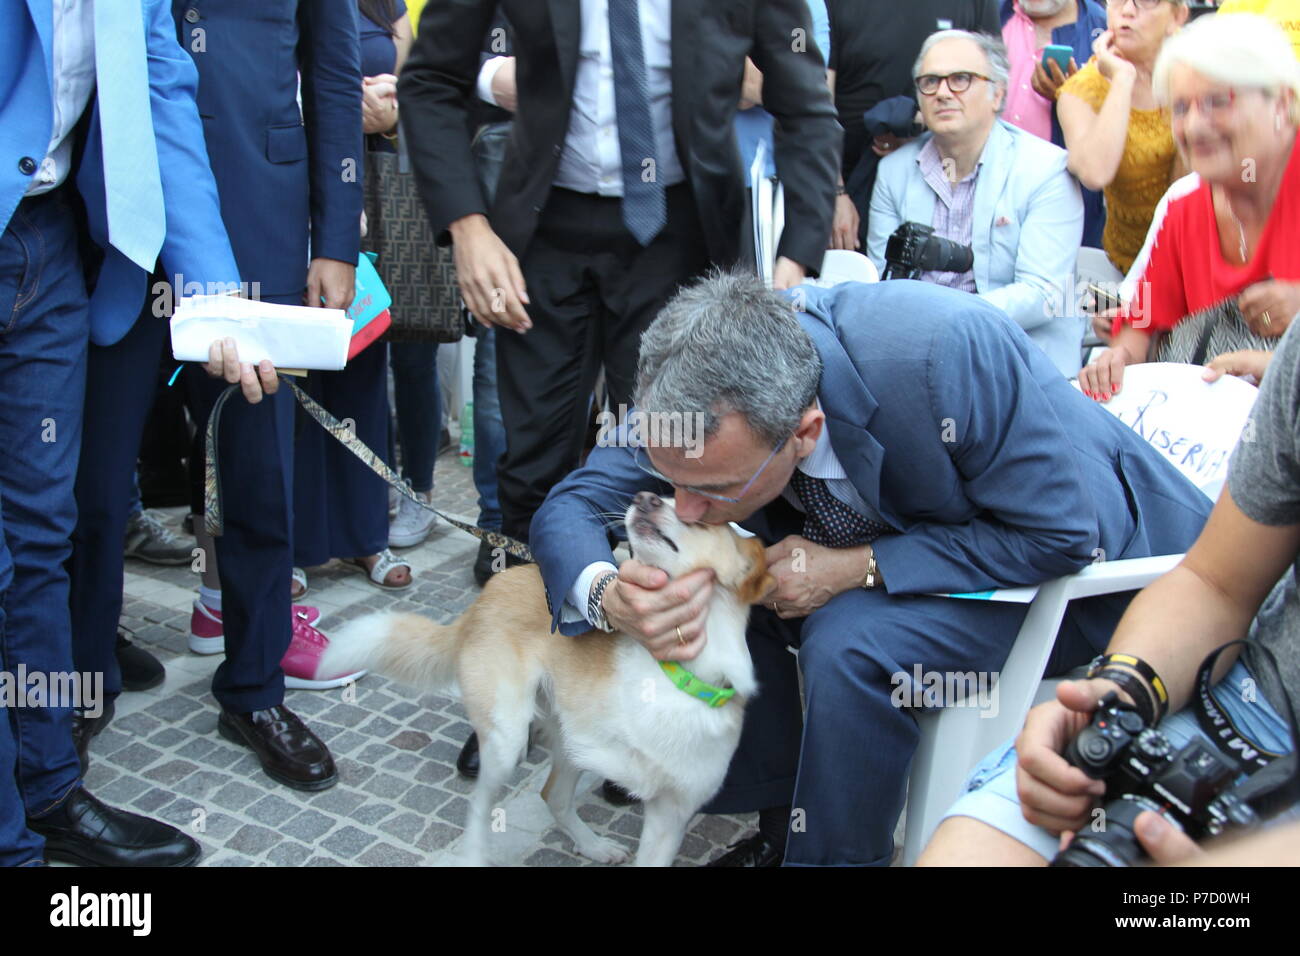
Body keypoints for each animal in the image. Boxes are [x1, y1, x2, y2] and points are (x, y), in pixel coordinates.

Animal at [315, 494, 769, 868]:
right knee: (481, 806)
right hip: (507, 738)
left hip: (561, 737)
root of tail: (488, 594)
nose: (643, 496)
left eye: (701, 518)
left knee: (553, 795)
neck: (679, 671)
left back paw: (593, 846)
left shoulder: (670, 813)